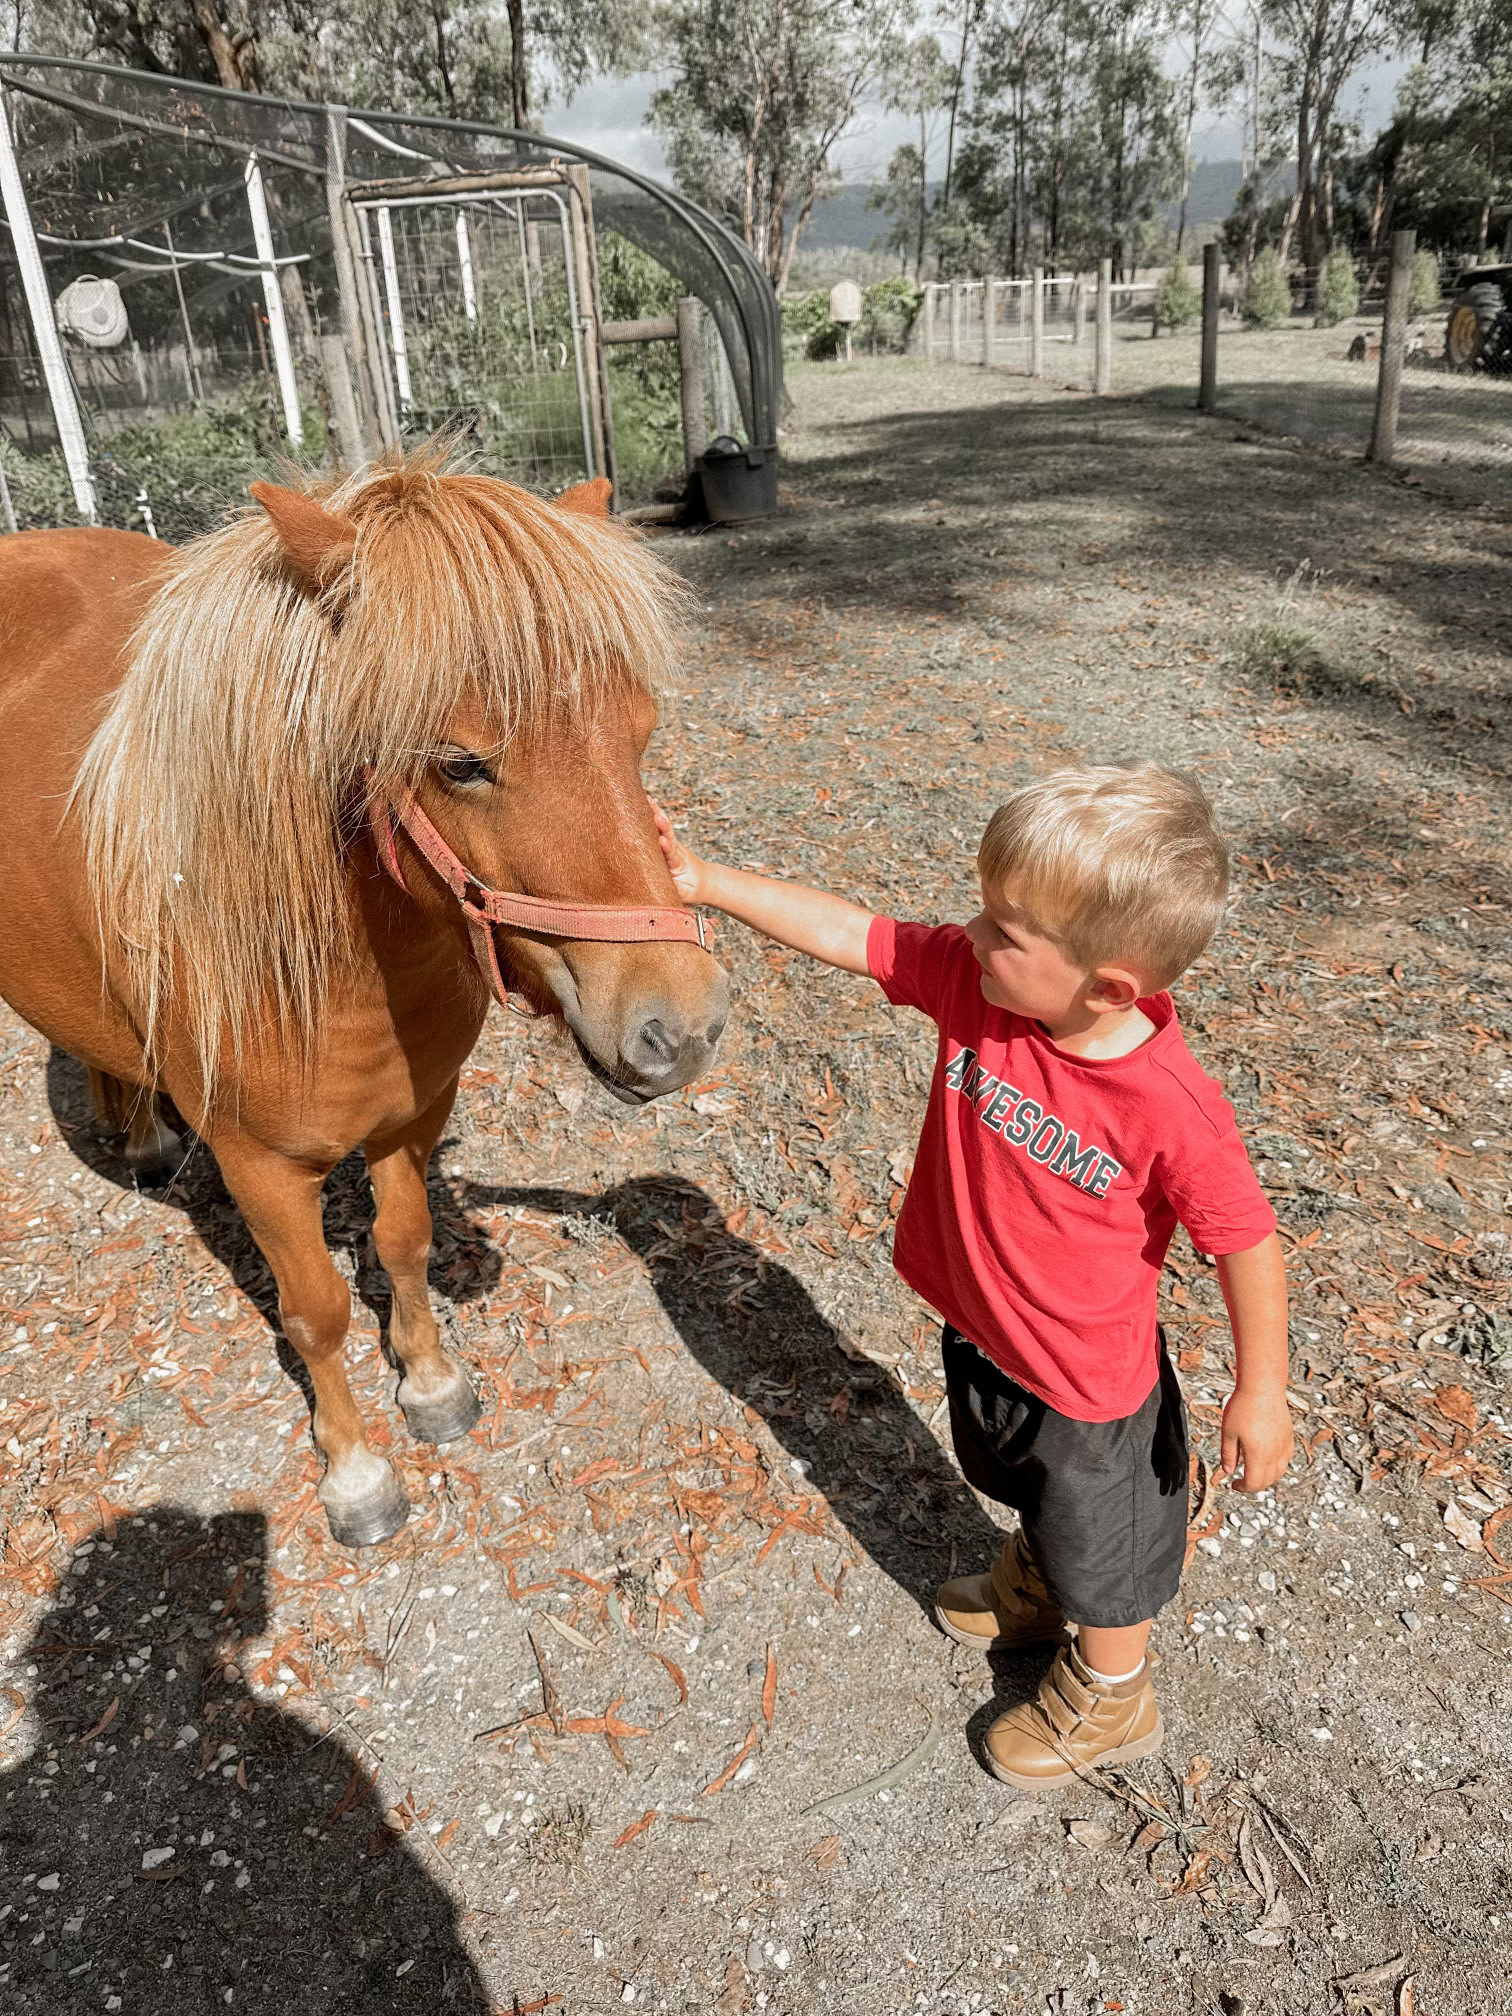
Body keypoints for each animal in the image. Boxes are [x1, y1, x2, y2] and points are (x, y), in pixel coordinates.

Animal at [0, 451, 728, 1548]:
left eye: (639, 733)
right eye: (462, 763)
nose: (679, 1030)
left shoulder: (411, 1118)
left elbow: (405, 1243)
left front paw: (430, 1384)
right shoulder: (260, 1170)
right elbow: (316, 1314)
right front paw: (355, 1472)